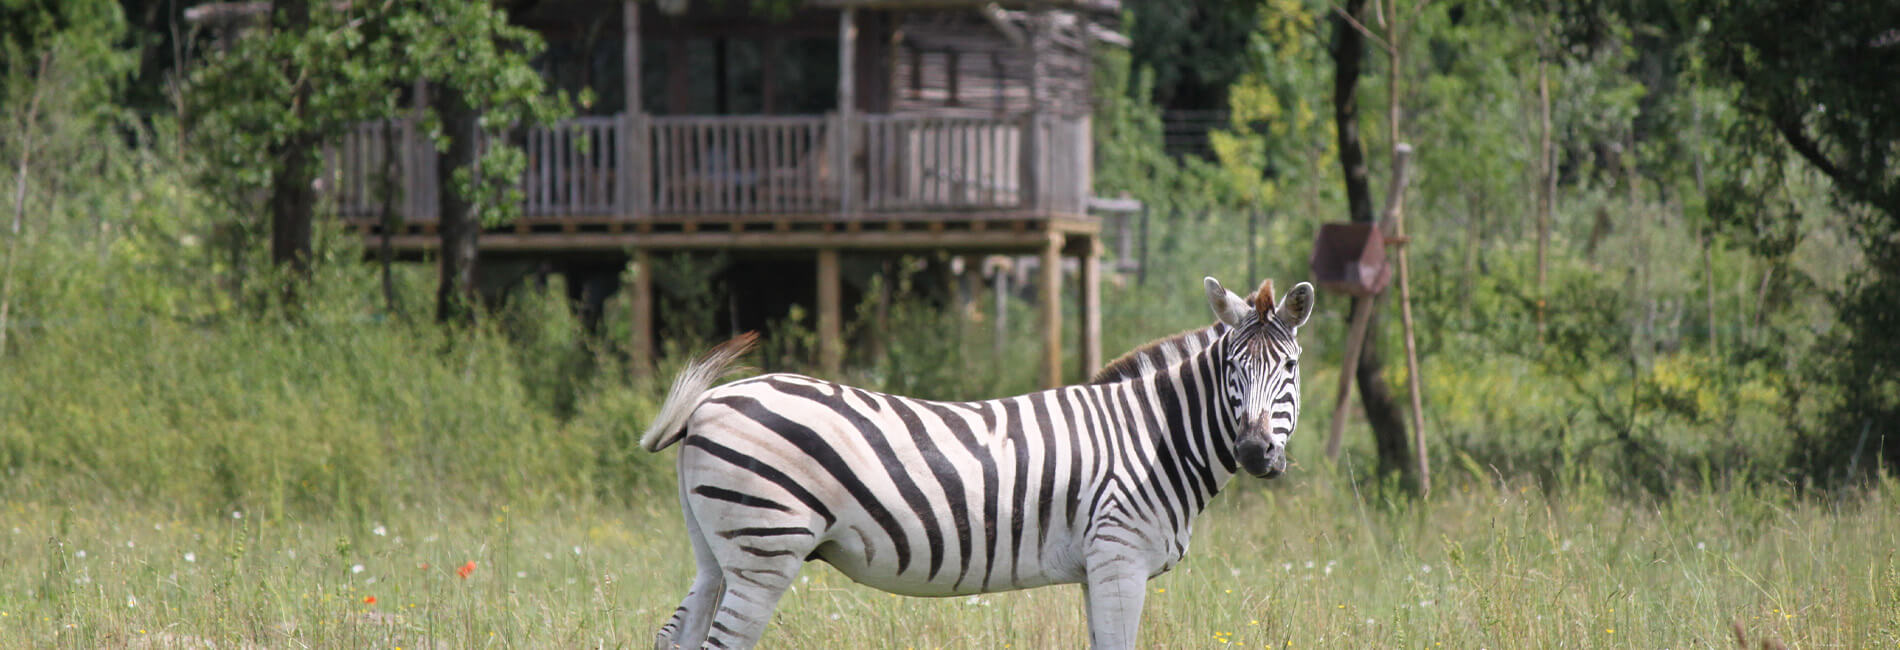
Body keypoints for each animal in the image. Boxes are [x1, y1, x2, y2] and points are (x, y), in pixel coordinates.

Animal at [634, 275, 1307, 650]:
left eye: (1290, 368)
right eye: (1232, 368)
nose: (1256, 453)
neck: (1152, 439)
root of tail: (710, 400)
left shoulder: (1096, 568)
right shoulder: (1119, 557)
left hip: (718, 550)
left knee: (676, 636)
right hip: (765, 546)